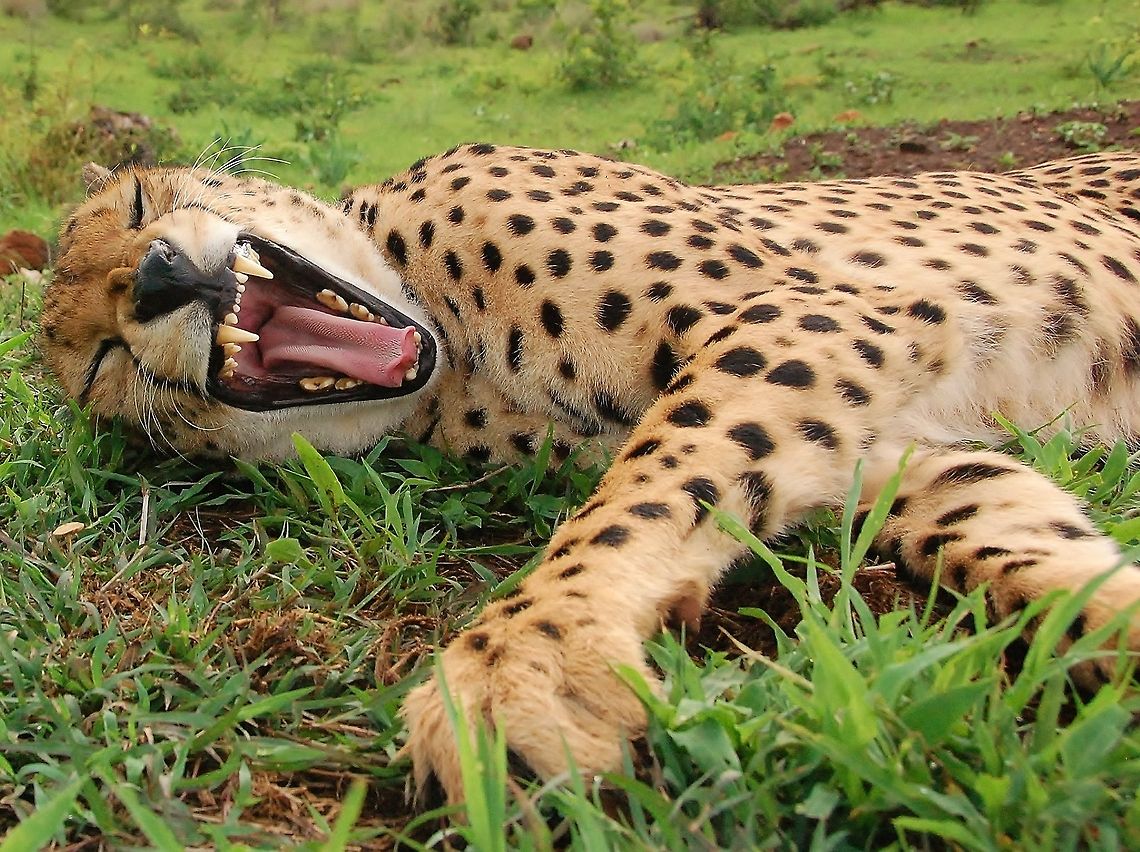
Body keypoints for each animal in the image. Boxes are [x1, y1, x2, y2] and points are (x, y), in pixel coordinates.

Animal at [41, 143, 1140, 804]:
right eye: (103, 366)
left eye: (139, 201)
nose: (160, 278)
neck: (452, 355)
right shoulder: (896, 448)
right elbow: (1022, 543)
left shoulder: (810, 314)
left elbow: (652, 477)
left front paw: (523, 654)